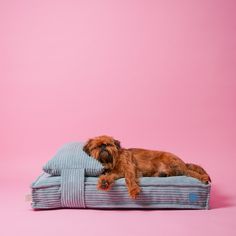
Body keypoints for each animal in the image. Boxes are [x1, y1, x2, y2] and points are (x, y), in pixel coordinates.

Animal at [82, 136, 210, 198]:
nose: (103, 146)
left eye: (109, 144)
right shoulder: (117, 172)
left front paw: (133, 190)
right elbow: (110, 175)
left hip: (174, 162)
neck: (111, 161)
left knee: (190, 172)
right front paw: (104, 182)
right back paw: (162, 174)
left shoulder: (129, 168)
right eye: (96, 147)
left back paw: (203, 178)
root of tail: (183, 162)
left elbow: (129, 179)